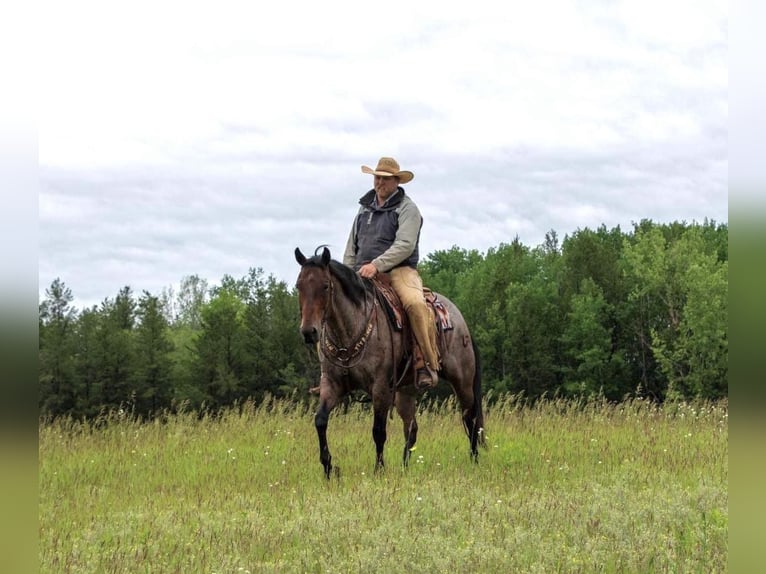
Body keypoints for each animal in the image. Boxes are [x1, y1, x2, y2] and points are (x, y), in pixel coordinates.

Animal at [294, 246, 485, 479]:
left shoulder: (380, 388)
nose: (308, 332)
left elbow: (378, 430)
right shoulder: (332, 384)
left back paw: (474, 461)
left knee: (471, 418)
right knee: (412, 428)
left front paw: (379, 469)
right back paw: (404, 467)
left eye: (325, 285)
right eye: (299, 286)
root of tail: (460, 320)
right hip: (406, 391)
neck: (350, 330)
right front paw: (329, 468)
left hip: (463, 381)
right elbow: (320, 420)